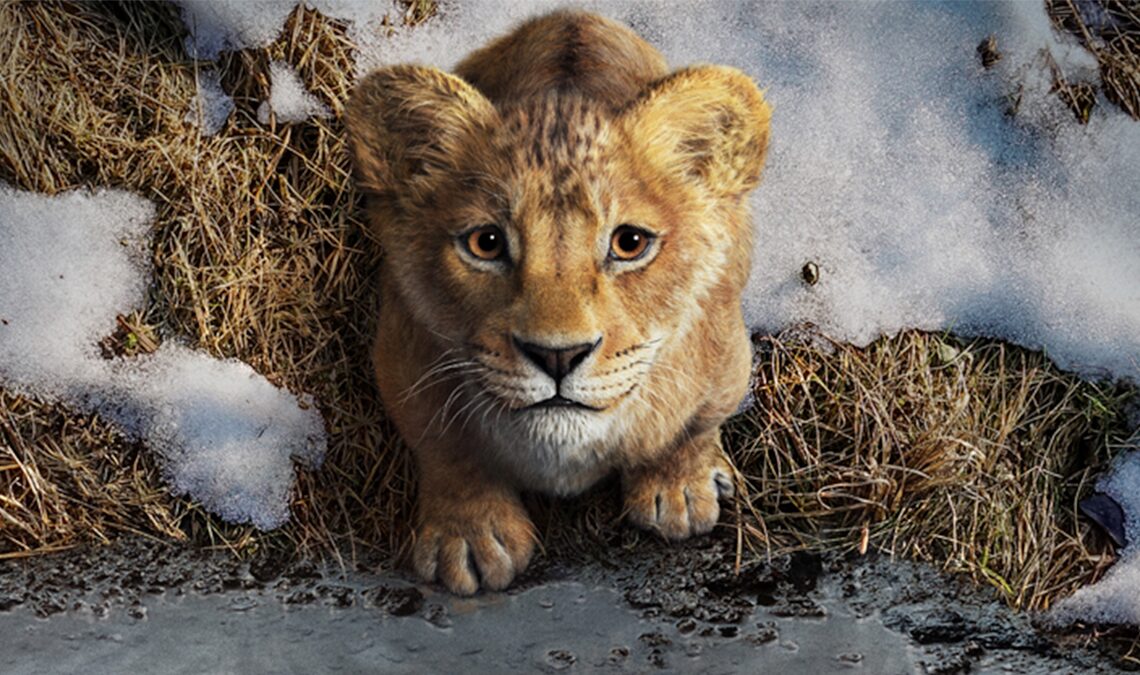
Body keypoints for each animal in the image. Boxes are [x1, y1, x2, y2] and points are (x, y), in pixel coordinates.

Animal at [346, 10, 771, 594]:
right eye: (486, 243)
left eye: (629, 243)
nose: (557, 356)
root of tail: (573, 15)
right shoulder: (402, 356)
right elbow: (446, 449)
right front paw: (470, 537)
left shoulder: (726, 355)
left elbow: (692, 425)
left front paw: (679, 490)